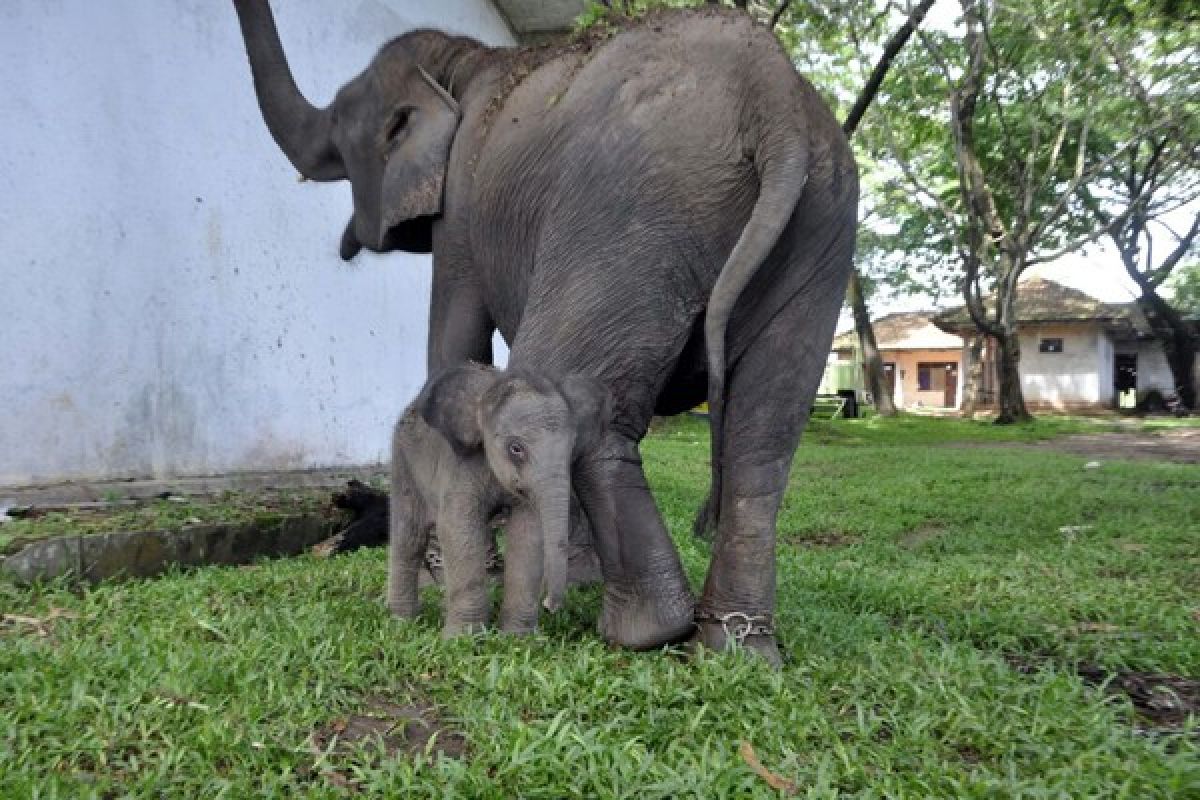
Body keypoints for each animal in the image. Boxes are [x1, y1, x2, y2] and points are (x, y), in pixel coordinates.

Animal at [386, 364, 609, 638]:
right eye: (516, 449)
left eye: (572, 449)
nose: (549, 606)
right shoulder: (460, 465)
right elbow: (458, 528)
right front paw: (462, 639)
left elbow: (528, 532)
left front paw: (517, 638)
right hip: (403, 461)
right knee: (410, 535)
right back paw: (402, 621)